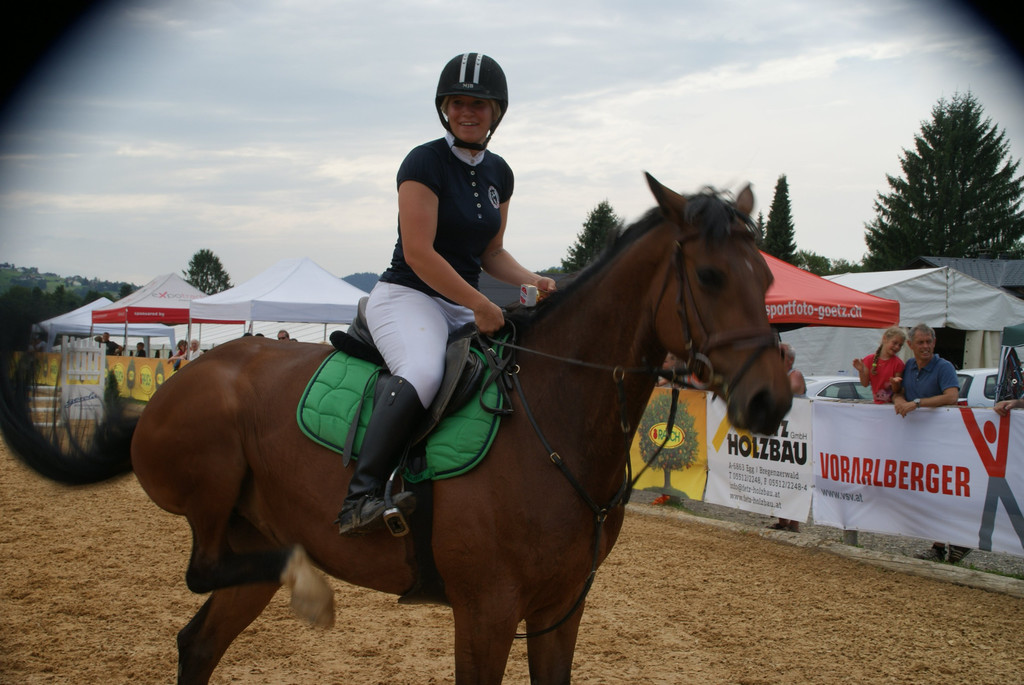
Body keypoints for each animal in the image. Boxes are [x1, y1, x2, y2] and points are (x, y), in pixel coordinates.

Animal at [0, 173, 792, 684]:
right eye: (712, 276)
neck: (556, 417)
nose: (771, 401)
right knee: (203, 568)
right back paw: (310, 576)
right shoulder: (486, 611)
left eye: (768, 280)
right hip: (215, 471)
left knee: (199, 641)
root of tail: (189, 374)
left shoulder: (560, 611)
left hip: (250, 531)